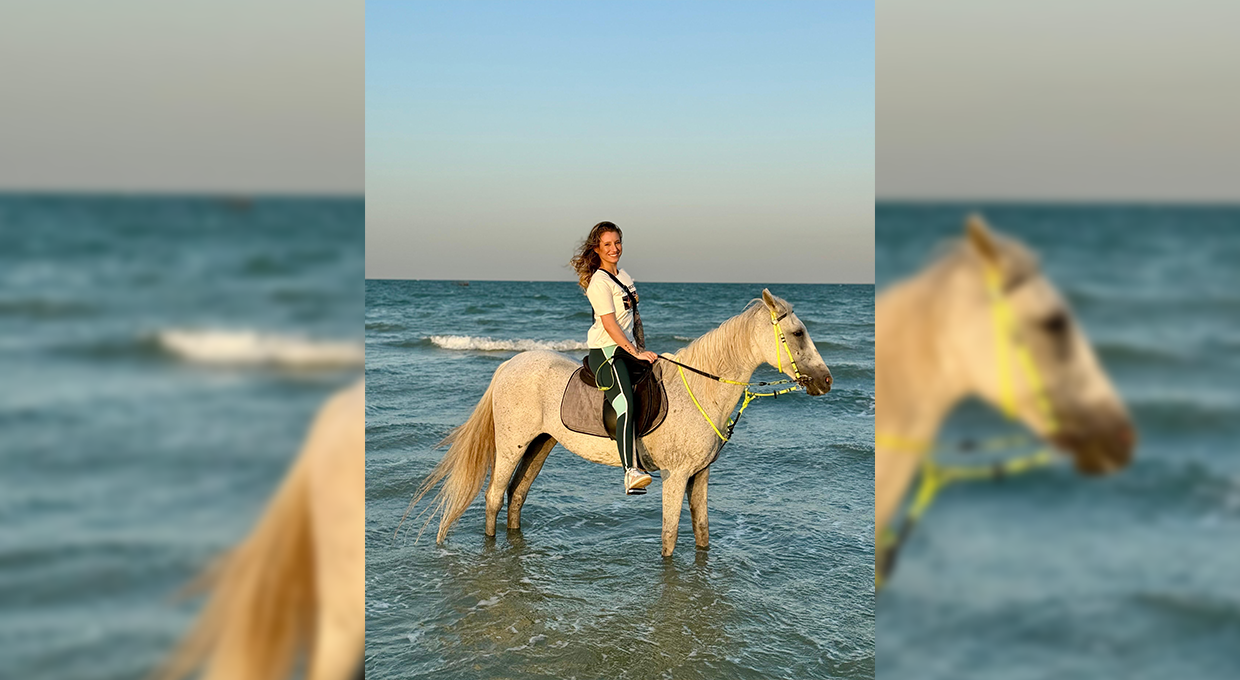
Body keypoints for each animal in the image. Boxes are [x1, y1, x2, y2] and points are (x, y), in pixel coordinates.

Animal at [408, 289, 834, 557]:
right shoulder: (676, 476)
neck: (700, 388)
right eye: (798, 333)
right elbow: (669, 538)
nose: (827, 381)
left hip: (541, 444)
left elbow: (702, 534)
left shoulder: (699, 476)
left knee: (517, 495)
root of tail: (509, 364)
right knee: (495, 497)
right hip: (513, 444)